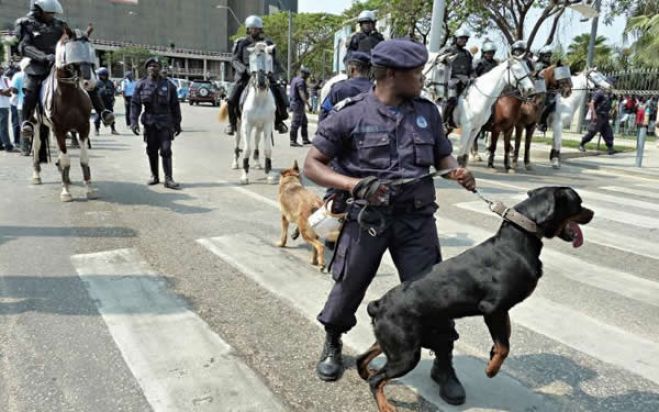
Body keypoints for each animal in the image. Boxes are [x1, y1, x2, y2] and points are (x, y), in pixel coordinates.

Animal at [32, 25, 97, 201]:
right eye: (72, 51)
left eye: (90, 50)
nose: (89, 82)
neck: (70, 97)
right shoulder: (59, 129)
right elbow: (66, 160)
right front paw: (66, 192)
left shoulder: (83, 128)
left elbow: (84, 160)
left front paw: (89, 189)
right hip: (37, 125)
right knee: (37, 146)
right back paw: (37, 175)